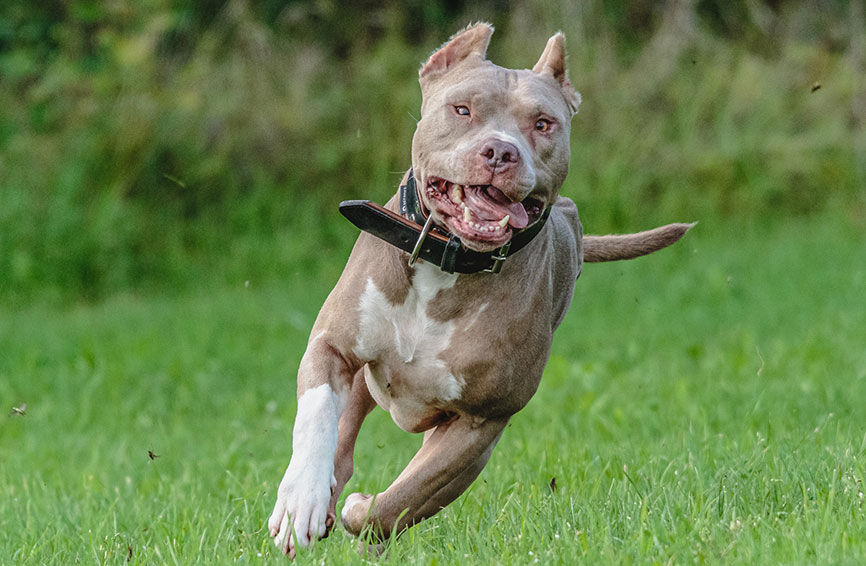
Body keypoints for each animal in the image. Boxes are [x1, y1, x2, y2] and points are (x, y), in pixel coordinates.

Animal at [266, 23, 692, 560]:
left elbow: (402, 499)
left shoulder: (480, 424)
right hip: (364, 378)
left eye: (543, 124)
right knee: (342, 438)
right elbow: (317, 417)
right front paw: (299, 502)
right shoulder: (333, 346)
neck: (448, 259)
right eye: (462, 110)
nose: (501, 151)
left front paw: (361, 512)